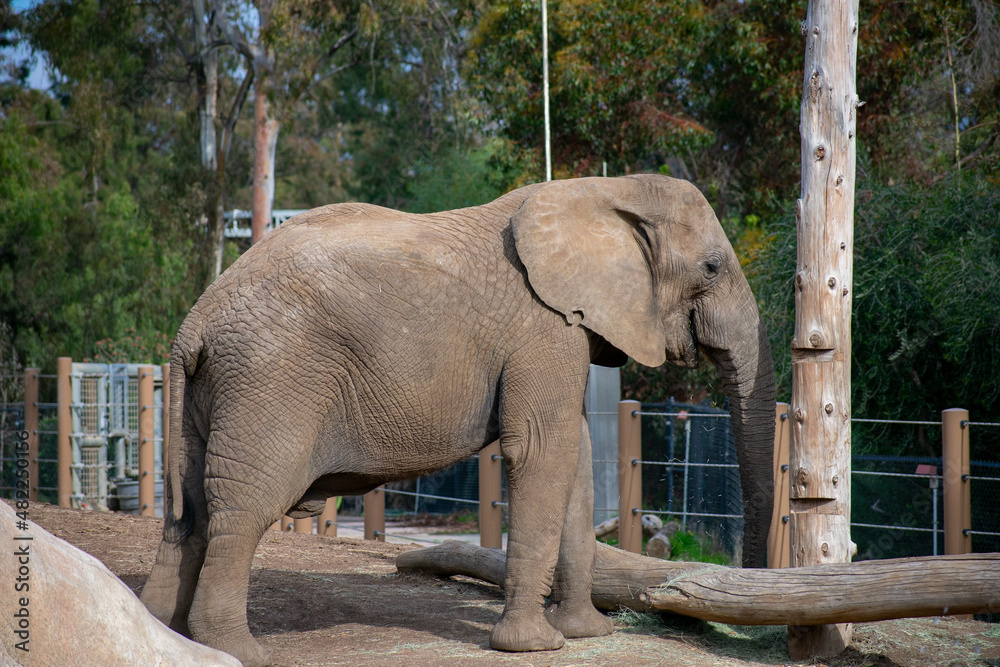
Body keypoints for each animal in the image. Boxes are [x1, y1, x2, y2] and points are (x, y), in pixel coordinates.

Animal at [139, 174, 776, 666]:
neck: (605, 189)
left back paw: (166, 633)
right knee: (242, 509)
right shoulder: (543, 328)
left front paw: (585, 634)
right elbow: (542, 451)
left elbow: (573, 459)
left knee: (189, 511)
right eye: (712, 267)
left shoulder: (563, 329)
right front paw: (533, 646)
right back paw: (238, 651)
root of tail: (193, 321)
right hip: (269, 381)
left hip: (211, 393)